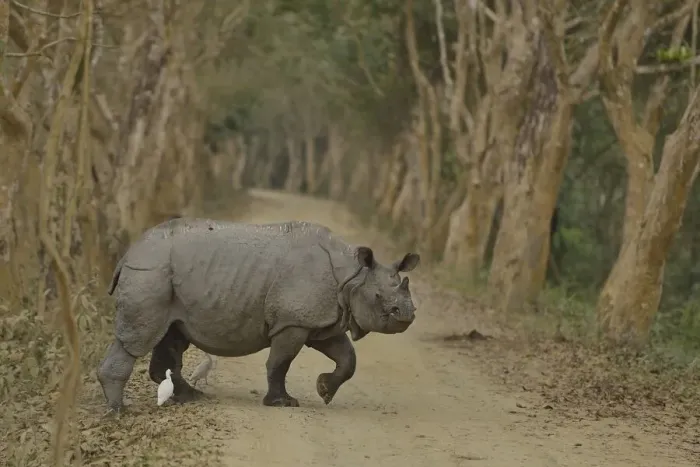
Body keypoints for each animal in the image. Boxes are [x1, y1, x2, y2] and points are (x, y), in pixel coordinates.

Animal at [97, 218, 420, 411]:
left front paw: (325, 391)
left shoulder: (319, 320)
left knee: (173, 333)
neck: (354, 276)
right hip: (150, 271)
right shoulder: (292, 321)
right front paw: (283, 403)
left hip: (167, 278)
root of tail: (128, 253)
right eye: (379, 298)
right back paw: (118, 410)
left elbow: (347, 357)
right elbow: (280, 362)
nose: (407, 315)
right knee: (139, 339)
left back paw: (190, 397)